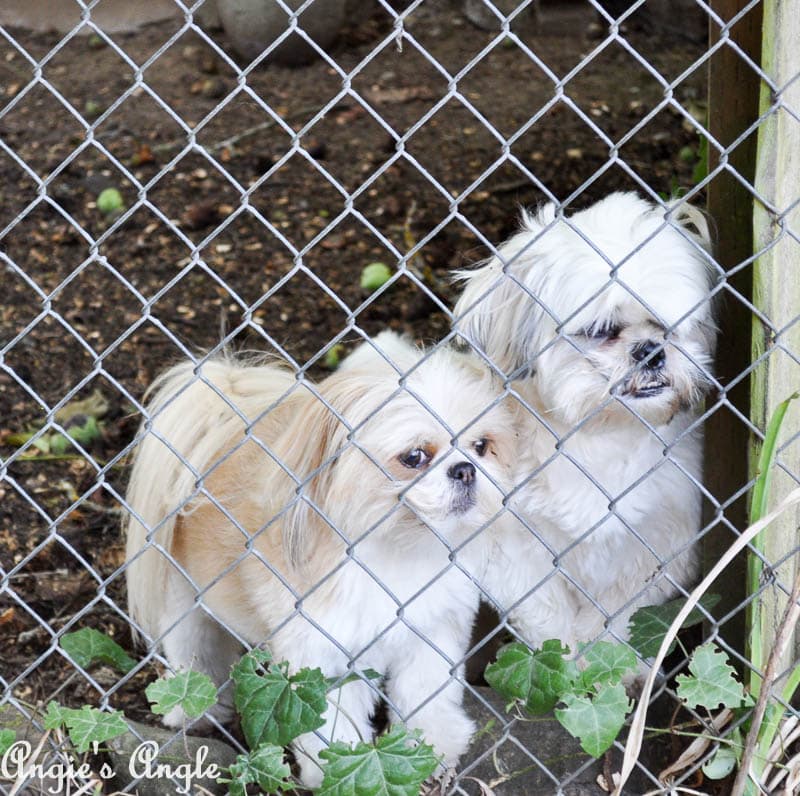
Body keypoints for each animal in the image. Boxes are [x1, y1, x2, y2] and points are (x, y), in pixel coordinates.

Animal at [123, 334, 512, 784]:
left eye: (482, 446)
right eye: (415, 457)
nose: (466, 469)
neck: (394, 550)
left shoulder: (431, 633)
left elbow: (424, 694)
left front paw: (431, 747)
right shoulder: (321, 658)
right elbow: (333, 722)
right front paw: (343, 766)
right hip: (185, 607)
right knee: (195, 659)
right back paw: (191, 712)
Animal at [450, 191, 720, 652]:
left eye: (666, 326)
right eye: (601, 330)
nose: (650, 350)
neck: (599, 435)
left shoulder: (662, 542)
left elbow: (619, 619)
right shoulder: (513, 547)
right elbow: (549, 618)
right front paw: (562, 658)